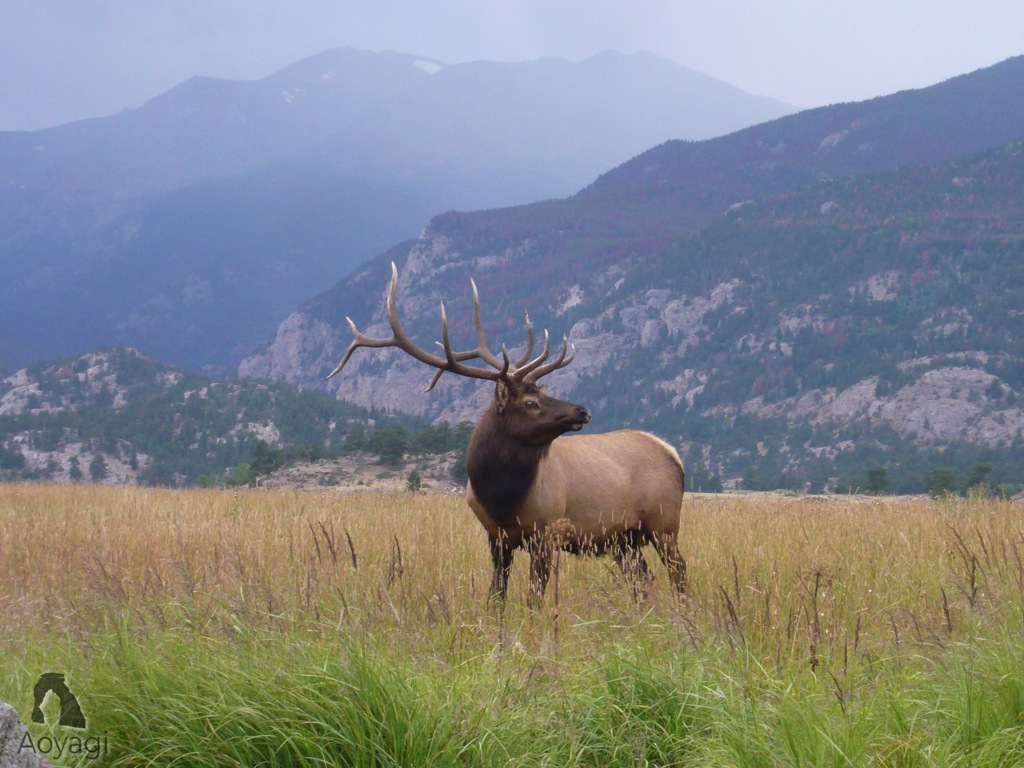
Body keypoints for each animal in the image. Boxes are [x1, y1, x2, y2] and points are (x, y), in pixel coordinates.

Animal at [329, 264, 688, 606]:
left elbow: (534, 597)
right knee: (643, 579)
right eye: (531, 402)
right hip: (622, 537)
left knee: (678, 570)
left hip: (664, 522)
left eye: (543, 393)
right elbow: (496, 594)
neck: (501, 496)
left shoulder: (546, 532)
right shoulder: (495, 537)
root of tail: (671, 452)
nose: (582, 411)